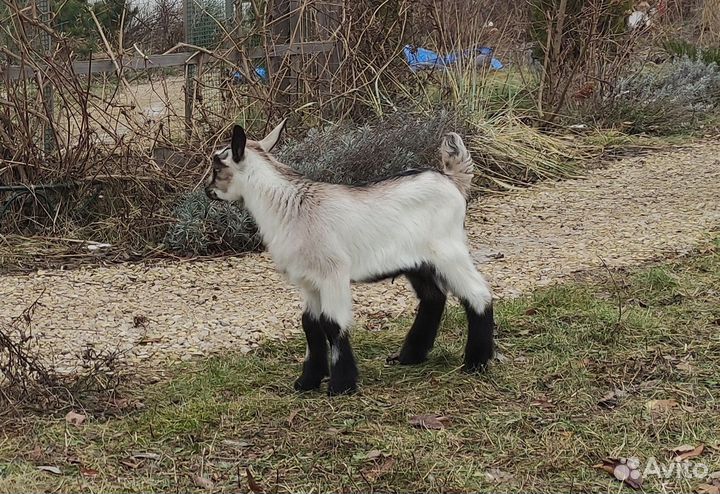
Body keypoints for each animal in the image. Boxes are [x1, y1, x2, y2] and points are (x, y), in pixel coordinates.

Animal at [205, 119, 492, 394]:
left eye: (217, 167)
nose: (207, 191)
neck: (291, 208)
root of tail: (453, 180)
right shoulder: (309, 281)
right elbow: (310, 324)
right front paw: (307, 382)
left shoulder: (333, 272)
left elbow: (333, 323)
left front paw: (341, 385)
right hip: (419, 263)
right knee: (433, 297)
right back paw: (410, 357)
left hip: (449, 251)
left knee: (478, 294)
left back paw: (477, 362)